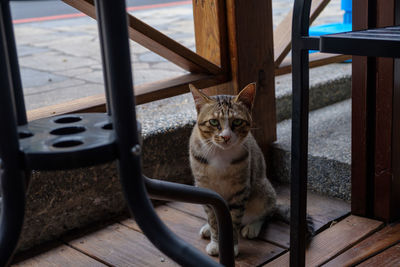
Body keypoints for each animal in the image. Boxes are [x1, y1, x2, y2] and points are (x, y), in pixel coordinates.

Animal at [189, 83, 314, 258]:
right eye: (213, 122)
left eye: (237, 121)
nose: (226, 137)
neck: (220, 154)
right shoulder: (205, 187)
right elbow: (213, 219)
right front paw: (215, 241)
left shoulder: (240, 190)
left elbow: (233, 221)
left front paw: (231, 246)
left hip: (262, 190)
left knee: (267, 211)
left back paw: (253, 226)